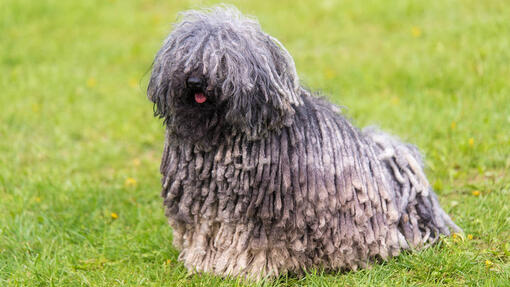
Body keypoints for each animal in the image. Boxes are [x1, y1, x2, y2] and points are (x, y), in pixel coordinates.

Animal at [145, 6, 460, 282]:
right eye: (186, 55)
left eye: (222, 60)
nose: (195, 81)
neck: (223, 139)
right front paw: (203, 263)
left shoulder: (262, 215)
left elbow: (250, 242)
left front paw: (241, 269)